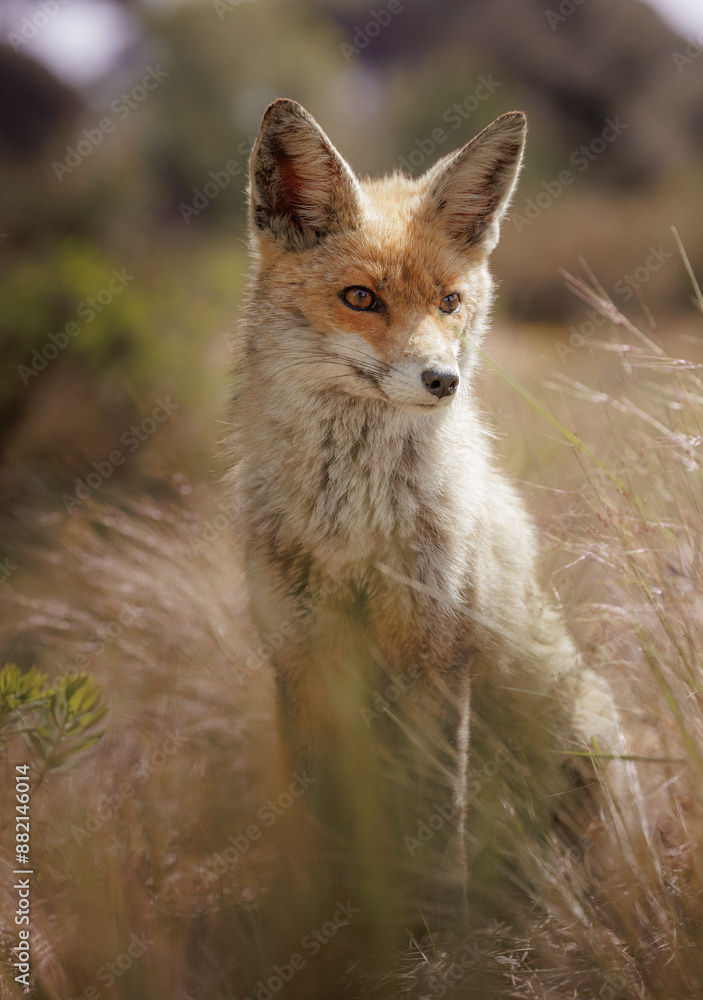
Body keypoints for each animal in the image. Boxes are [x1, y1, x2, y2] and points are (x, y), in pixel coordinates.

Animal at [230, 99, 633, 924]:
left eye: (449, 302)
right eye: (360, 298)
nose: (442, 380)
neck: (351, 526)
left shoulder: (440, 654)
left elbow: (438, 818)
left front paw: (438, 930)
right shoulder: (297, 657)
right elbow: (319, 818)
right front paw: (330, 926)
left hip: (578, 732)